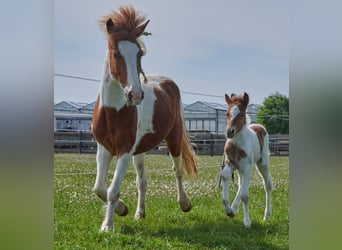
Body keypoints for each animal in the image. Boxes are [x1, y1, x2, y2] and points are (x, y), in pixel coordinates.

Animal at [91, 5, 198, 232]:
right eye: (116, 53)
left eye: (139, 53)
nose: (136, 95)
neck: (113, 113)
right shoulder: (104, 148)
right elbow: (99, 188)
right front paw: (123, 209)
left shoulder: (124, 151)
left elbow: (112, 190)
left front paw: (107, 226)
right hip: (139, 151)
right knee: (142, 181)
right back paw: (140, 213)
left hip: (173, 139)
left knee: (177, 170)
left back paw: (184, 203)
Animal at [220, 93, 274, 228]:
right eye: (227, 114)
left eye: (242, 114)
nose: (229, 132)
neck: (237, 144)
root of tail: (259, 126)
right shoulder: (230, 163)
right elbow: (225, 176)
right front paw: (229, 211)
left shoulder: (247, 166)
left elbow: (245, 195)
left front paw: (247, 221)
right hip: (241, 168)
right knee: (241, 184)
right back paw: (234, 209)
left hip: (261, 163)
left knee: (267, 184)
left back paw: (266, 215)